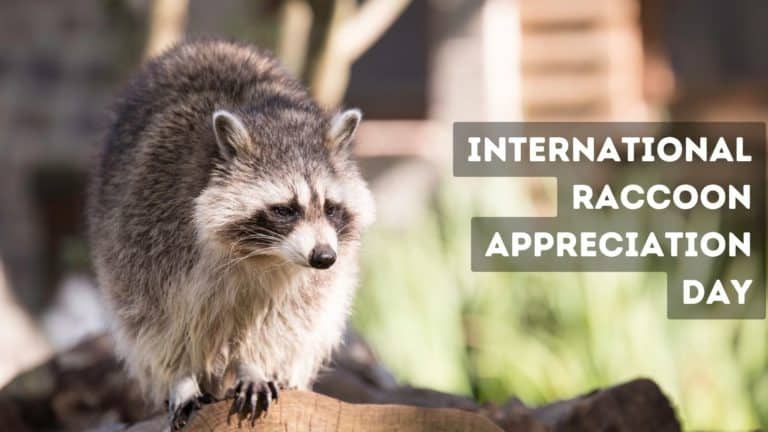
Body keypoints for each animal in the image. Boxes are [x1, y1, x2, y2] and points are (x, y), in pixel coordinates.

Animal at [87, 39, 374, 429]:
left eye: (331, 207)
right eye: (286, 209)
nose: (324, 257)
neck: (261, 253)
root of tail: (208, 44)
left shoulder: (307, 278)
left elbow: (286, 318)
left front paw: (254, 364)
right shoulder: (146, 232)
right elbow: (154, 320)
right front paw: (180, 378)